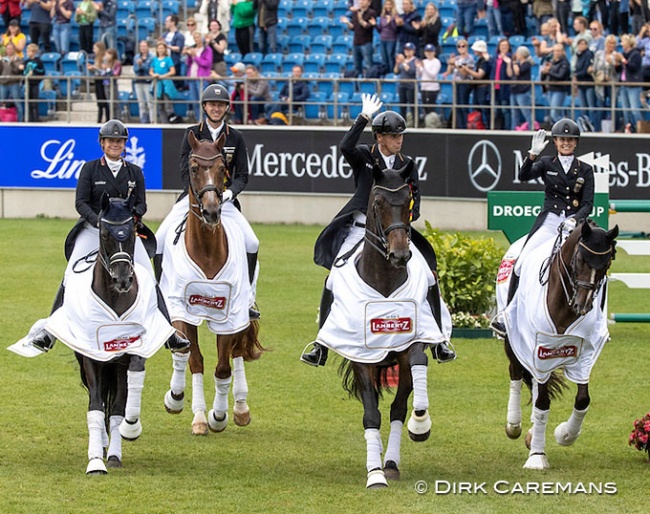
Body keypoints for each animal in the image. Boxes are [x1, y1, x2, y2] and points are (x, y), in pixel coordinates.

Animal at [159, 131, 260, 432]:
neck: (205, 249)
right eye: (193, 168)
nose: (212, 212)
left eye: (222, 167)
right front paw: (187, 407)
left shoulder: (229, 313)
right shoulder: (182, 310)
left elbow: (223, 367)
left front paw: (218, 415)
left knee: (236, 353)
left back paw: (240, 407)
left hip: (240, 314)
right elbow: (191, 358)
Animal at [316, 162, 448, 486]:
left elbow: (405, 392)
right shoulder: (361, 356)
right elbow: (371, 414)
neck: (385, 279)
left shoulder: (412, 341)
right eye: (377, 203)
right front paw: (375, 474)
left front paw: (419, 424)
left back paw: (390, 455)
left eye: (409, 201)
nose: (400, 254)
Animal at [502, 218, 616, 466]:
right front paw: (537, 457)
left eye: (607, 262)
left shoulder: (583, 354)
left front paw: (565, 434)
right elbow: (543, 402)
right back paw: (514, 425)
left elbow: (582, 399)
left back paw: (532, 432)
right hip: (514, 338)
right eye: (580, 259)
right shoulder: (539, 349)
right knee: (515, 372)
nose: (582, 305)